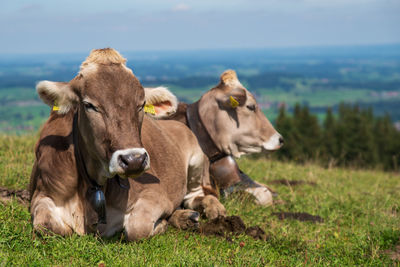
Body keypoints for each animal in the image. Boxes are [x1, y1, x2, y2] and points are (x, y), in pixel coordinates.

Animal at [29, 48, 227, 243]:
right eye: (89, 105)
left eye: (142, 104)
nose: (134, 160)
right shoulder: (42, 194)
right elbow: (47, 226)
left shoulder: (155, 194)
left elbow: (137, 227)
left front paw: (162, 224)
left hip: (197, 161)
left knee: (199, 195)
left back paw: (211, 211)